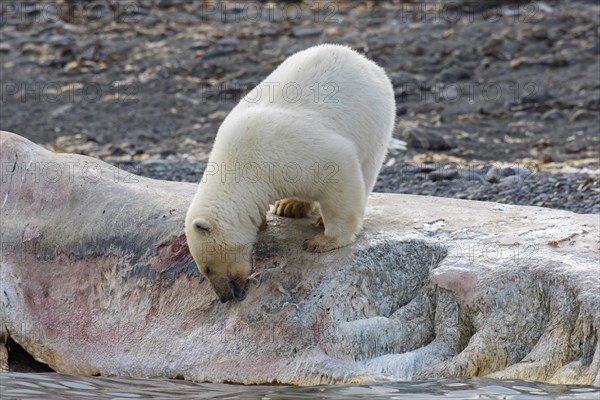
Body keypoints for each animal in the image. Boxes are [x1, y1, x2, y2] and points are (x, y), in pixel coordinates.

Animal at [185, 43, 396, 302]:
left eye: (207, 268)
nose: (225, 297)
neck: (241, 163)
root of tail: (366, 61)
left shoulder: (287, 152)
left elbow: (339, 169)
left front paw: (322, 241)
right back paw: (289, 206)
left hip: (372, 120)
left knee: (367, 168)